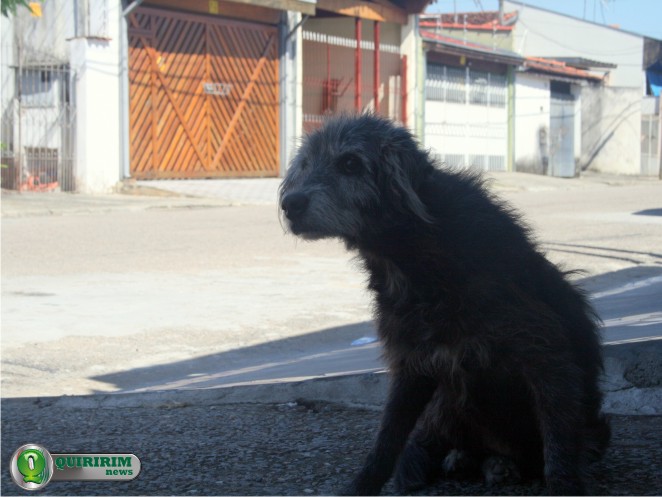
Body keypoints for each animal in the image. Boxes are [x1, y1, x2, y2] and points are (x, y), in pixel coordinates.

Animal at [278, 114, 608, 494]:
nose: (290, 204)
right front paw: (360, 486)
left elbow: (558, 443)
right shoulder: (411, 363)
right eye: (305, 164)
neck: (415, 258)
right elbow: (386, 440)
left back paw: (497, 464)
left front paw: (562, 484)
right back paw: (463, 460)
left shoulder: (546, 354)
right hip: (447, 404)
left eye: (350, 163)